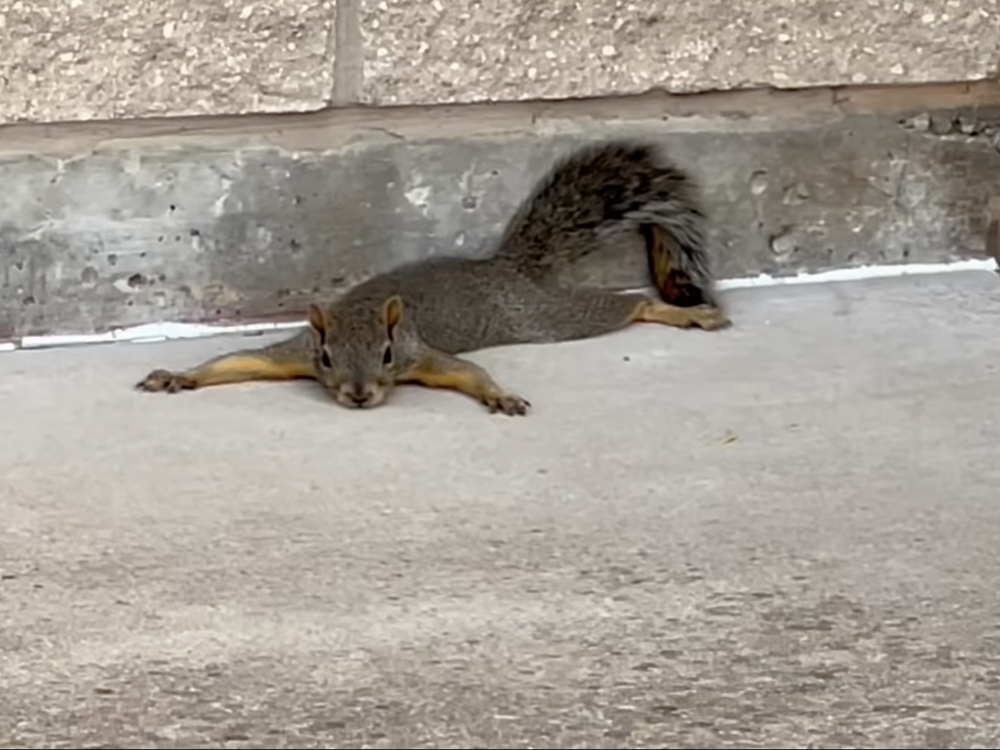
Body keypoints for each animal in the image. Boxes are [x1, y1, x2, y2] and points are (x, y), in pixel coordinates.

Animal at [137, 141, 728, 418]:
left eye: (388, 354)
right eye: (326, 358)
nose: (359, 397)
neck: (364, 312)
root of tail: (507, 265)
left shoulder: (423, 354)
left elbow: (468, 373)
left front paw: (500, 396)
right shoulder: (294, 353)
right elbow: (237, 362)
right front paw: (178, 376)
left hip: (543, 315)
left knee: (623, 306)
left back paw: (685, 312)